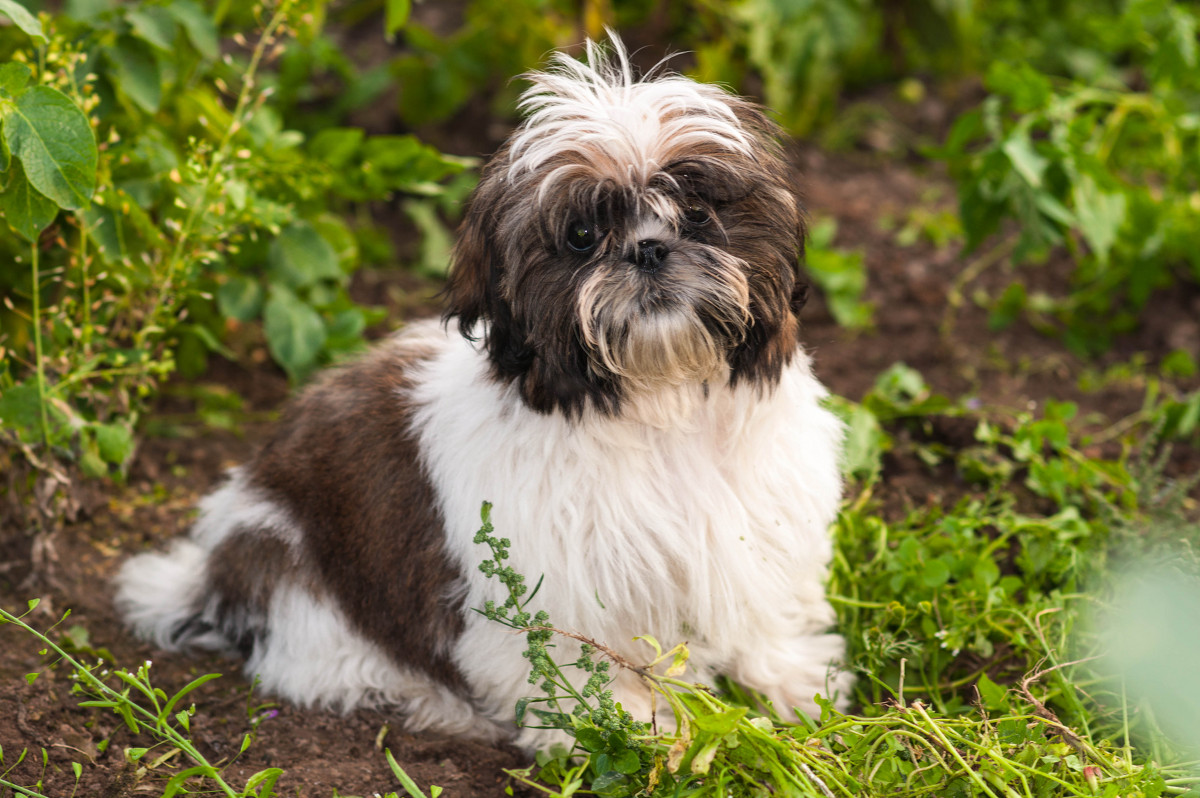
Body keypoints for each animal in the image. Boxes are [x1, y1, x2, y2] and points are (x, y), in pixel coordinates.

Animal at [114, 35, 854, 748]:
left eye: (697, 213)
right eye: (582, 235)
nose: (648, 249)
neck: (659, 405)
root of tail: (213, 564)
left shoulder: (759, 528)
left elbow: (762, 613)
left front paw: (792, 680)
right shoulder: (554, 591)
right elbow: (581, 668)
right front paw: (627, 728)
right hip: (295, 569)